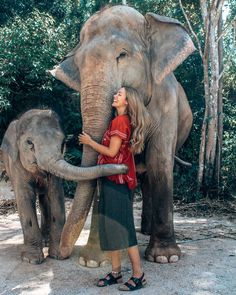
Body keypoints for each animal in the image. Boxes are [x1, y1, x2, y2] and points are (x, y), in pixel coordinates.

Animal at [0, 110, 127, 264]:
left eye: (63, 143)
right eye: (29, 143)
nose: (125, 168)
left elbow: (56, 194)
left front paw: (57, 256)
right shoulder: (15, 164)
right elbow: (24, 198)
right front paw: (32, 260)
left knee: (44, 199)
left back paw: (46, 242)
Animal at [50, 5, 195, 268]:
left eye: (123, 54)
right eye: (79, 65)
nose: (58, 255)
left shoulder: (168, 103)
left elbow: (160, 161)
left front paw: (165, 257)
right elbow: (101, 163)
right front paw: (93, 261)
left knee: (153, 170)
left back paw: (149, 235)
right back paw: (143, 230)